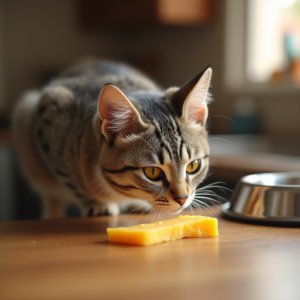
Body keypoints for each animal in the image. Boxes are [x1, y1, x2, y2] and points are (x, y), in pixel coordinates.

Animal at [12, 59, 212, 218]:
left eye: (193, 166)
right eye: (152, 172)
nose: (182, 199)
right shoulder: (49, 115)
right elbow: (72, 183)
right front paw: (97, 204)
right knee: (51, 196)